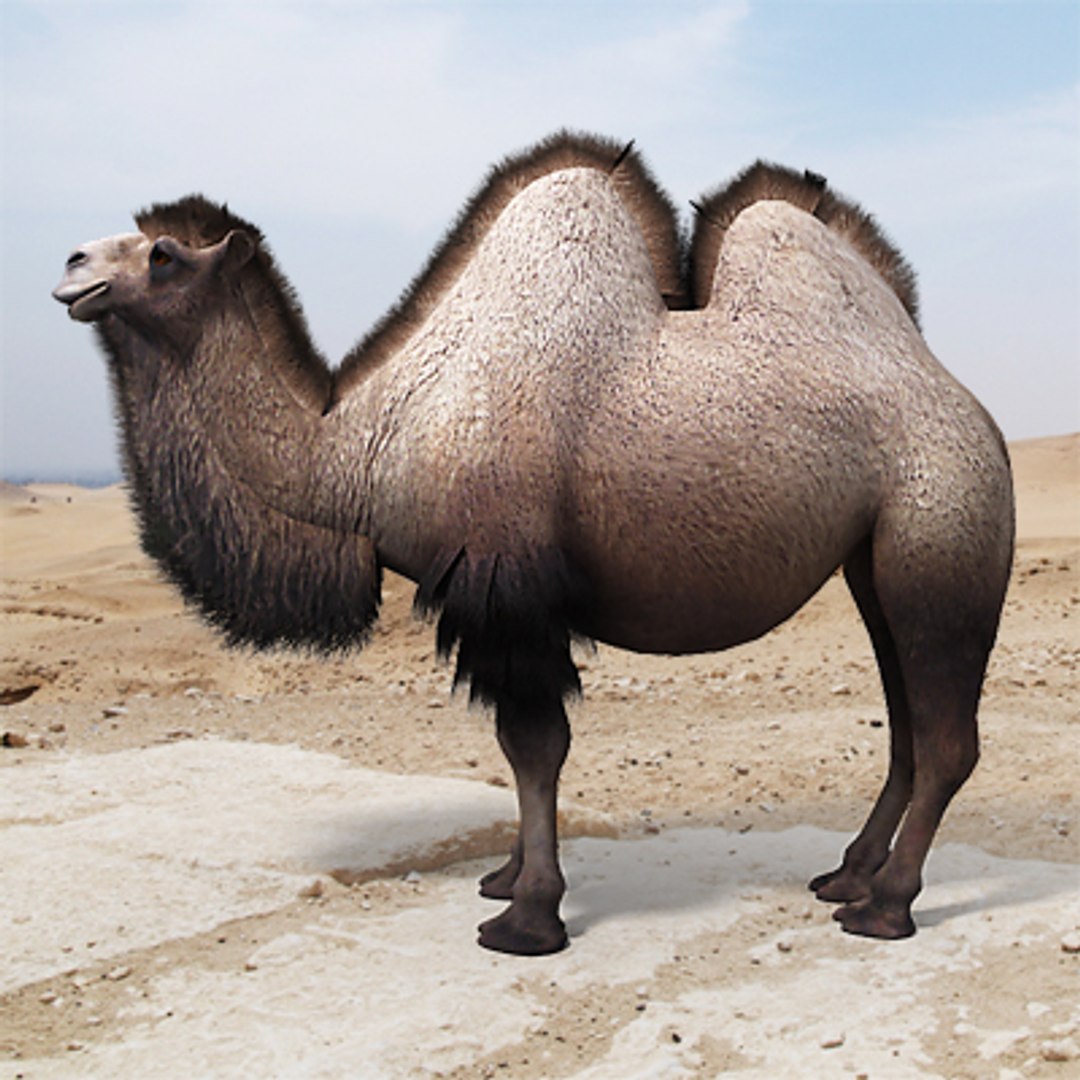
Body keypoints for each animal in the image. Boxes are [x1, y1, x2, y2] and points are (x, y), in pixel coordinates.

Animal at [52, 131, 1014, 956]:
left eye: (163, 255)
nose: (70, 265)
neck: (365, 454)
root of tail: (975, 412)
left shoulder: (504, 581)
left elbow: (535, 745)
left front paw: (526, 918)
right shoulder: (493, 601)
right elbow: (518, 745)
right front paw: (505, 878)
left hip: (945, 533)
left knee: (948, 739)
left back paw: (886, 908)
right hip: (873, 564)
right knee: (906, 727)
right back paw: (849, 877)